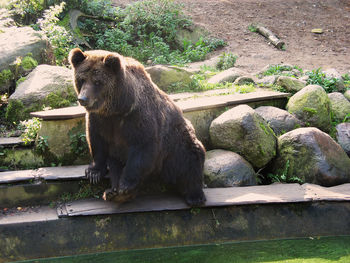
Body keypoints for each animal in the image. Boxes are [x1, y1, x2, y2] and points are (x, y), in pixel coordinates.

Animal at [67, 48, 205, 207]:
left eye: (97, 81)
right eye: (81, 79)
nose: (83, 99)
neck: (116, 108)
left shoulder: (137, 116)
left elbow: (142, 146)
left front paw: (125, 185)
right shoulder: (99, 120)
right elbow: (97, 141)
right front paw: (93, 172)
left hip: (177, 143)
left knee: (191, 159)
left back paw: (195, 196)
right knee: (115, 164)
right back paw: (114, 192)